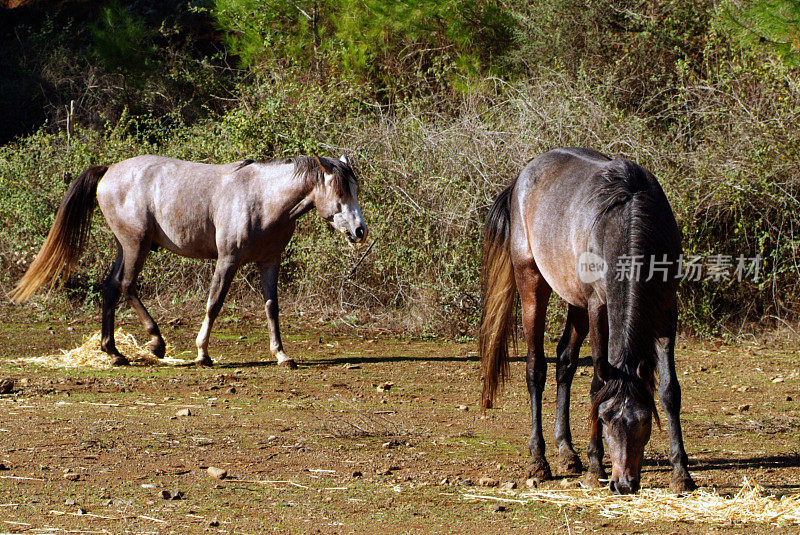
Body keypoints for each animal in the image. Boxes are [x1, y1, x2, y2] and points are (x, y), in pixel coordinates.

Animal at [10, 155, 368, 368]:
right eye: (340, 193)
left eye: (355, 190)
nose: (360, 230)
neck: (261, 198)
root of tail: (109, 170)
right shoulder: (228, 260)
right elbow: (214, 303)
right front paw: (202, 353)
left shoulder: (269, 262)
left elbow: (272, 308)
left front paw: (282, 354)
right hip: (136, 245)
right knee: (127, 286)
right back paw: (155, 342)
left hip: (125, 247)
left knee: (111, 288)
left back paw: (114, 352)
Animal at [482, 147, 692, 494]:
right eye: (605, 419)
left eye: (645, 421)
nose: (624, 483)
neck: (629, 218)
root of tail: (521, 178)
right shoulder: (598, 306)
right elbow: (597, 384)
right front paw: (596, 465)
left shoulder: (666, 309)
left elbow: (669, 391)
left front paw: (682, 473)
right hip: (531, 282)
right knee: (536, 368)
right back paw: (539, 460)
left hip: (575, 298)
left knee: (565, 361)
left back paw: (567, 451)